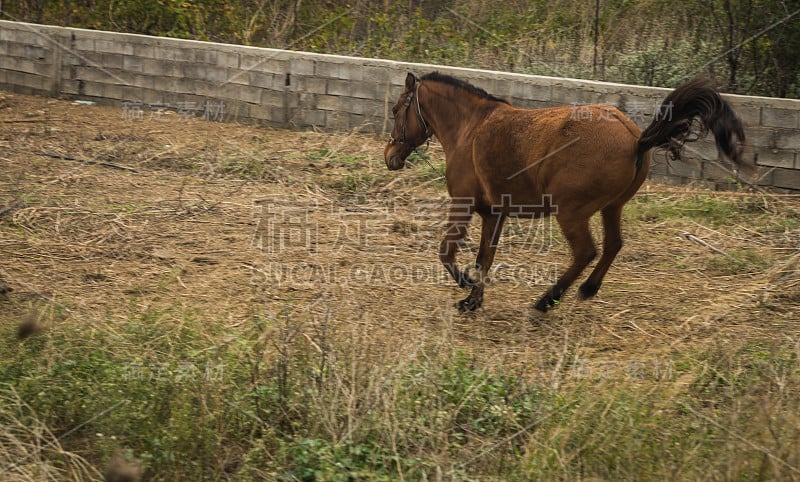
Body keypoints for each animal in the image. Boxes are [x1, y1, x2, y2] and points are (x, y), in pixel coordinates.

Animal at [382, 70, 744, 312]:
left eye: (397, 110)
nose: (390, 155)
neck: (470, 128)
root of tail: (635, 137)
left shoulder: (463, 203)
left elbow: (447, 252)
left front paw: (466, 285)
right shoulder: (494, 213)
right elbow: (485, 257)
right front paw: (473, 301)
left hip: (570, 212)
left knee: (585, 252)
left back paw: (547, 300)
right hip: (612, 207)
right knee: (613, 244)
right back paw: (587, 289)